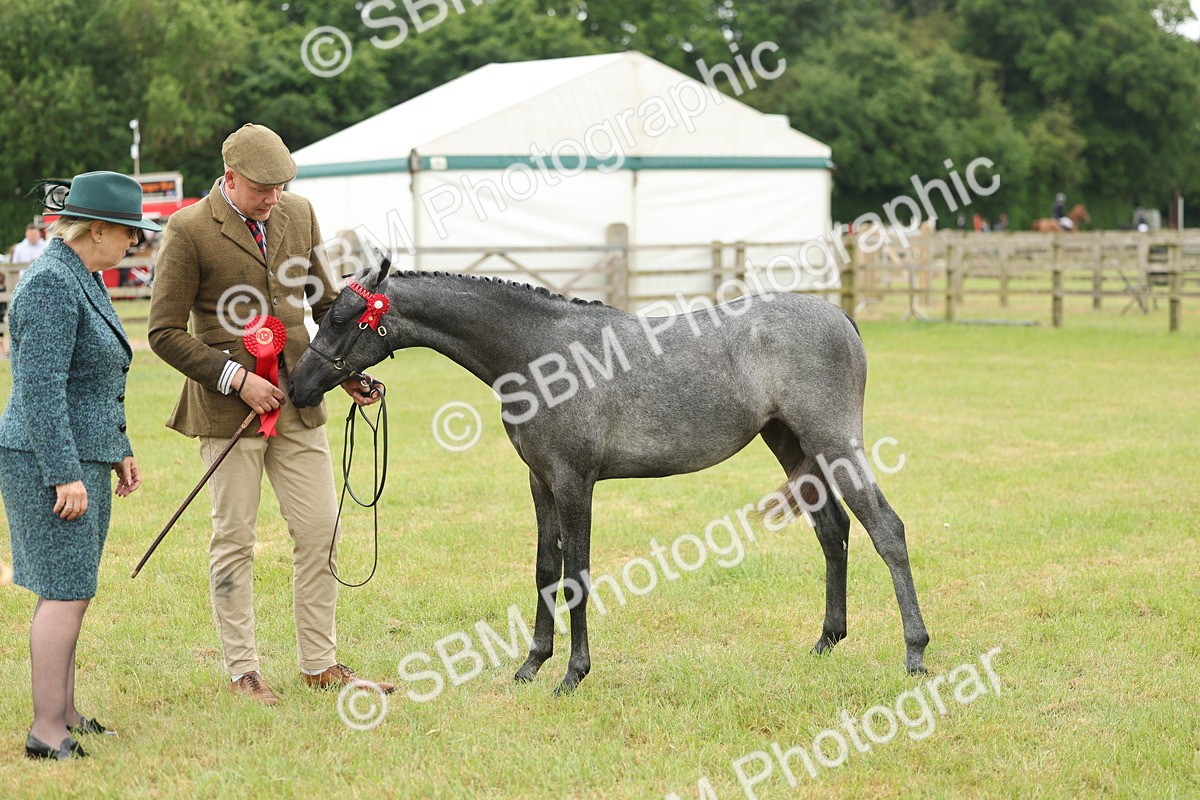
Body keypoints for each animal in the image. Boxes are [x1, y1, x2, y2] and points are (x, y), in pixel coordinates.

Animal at [288, 261, 930, 694]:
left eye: (344, 317)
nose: (297, 386)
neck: (539, 354)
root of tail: (839, 315)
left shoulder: (575, 482)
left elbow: (577, 573)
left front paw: (573, 674)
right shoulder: (541, 482)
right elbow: (546, 568)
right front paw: (531, 664)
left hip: (833, 443)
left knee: (886, 529)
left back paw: (916, 654)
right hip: (795, 446)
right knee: (833, 532)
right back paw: (826, 641)